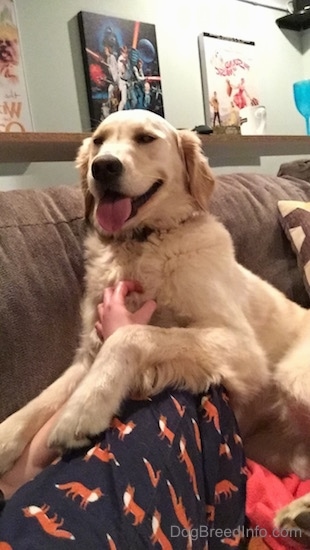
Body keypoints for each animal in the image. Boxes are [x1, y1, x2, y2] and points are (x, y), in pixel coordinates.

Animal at [0, 110, 310, 536]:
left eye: (145, 138)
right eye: (98, 141)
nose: (103, 167)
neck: (140, 243)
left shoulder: (242, 349)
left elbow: (133, 334)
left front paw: (83, 412)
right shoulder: (88, 350)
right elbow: (41, 400)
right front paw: (3, 440)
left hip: (293, 377)